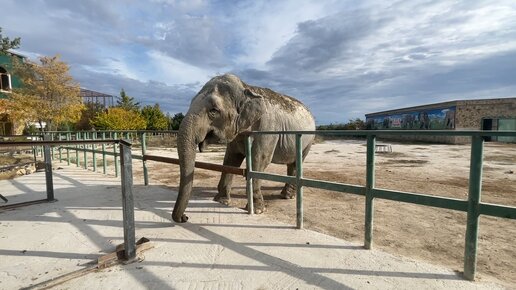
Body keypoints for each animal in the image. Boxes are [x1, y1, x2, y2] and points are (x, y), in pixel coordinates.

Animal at [172, 73, 314, 223]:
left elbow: (259, 159)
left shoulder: (267, 128)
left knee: (297, 162)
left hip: (308, 140)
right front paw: (221, 201)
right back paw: (285, 195)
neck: (247, 88)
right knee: (292, 164)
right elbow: (230, 159)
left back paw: (288, 196)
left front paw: (256, 210)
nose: (185, 217)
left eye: (214, 111)